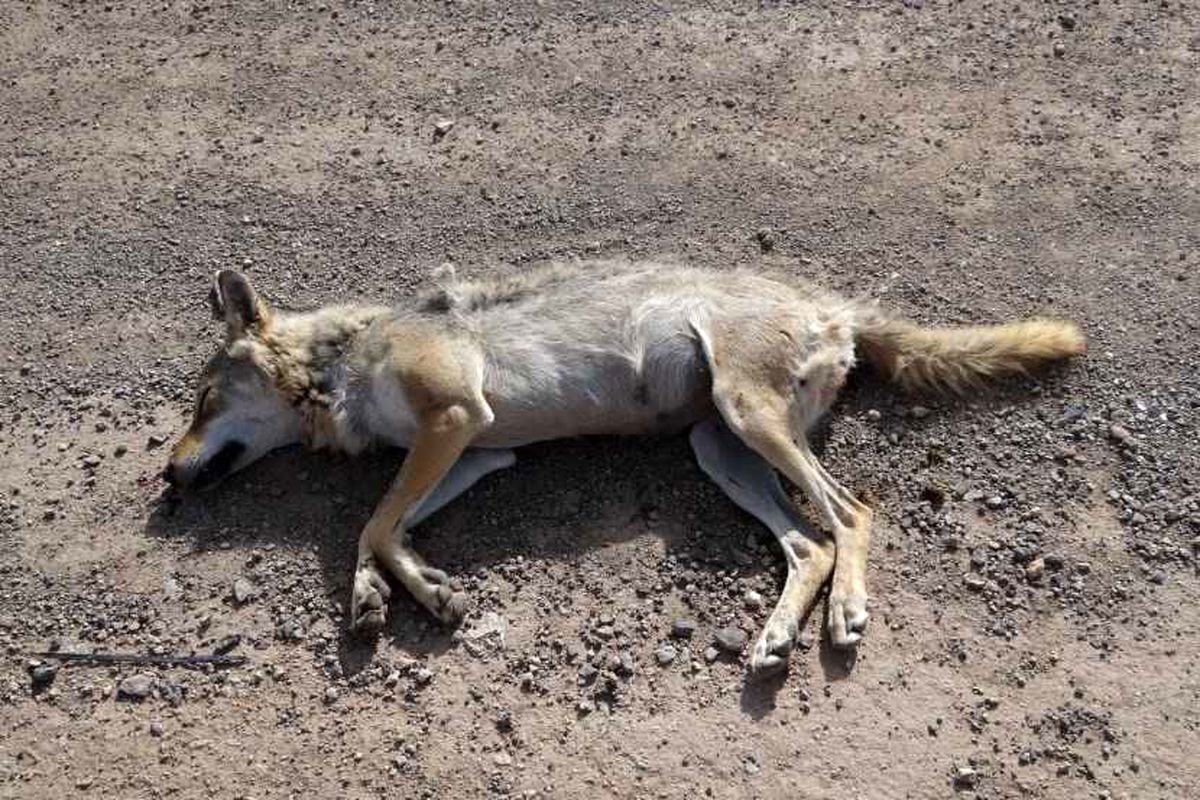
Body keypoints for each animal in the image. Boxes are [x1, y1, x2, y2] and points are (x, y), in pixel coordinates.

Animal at [166, 262, 1089, 676]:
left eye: (203, 400)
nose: (169, 476)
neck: (342, 363)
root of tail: (833, 307)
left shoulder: (458, 420)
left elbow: (377, 520)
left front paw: (425, 593)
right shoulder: (479, 449)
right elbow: (374, 528)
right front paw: (383, 594)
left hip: (749, 422)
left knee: (853, 513)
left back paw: (843, 616)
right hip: (718, 447)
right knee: (811, 544)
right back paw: (776, 636)